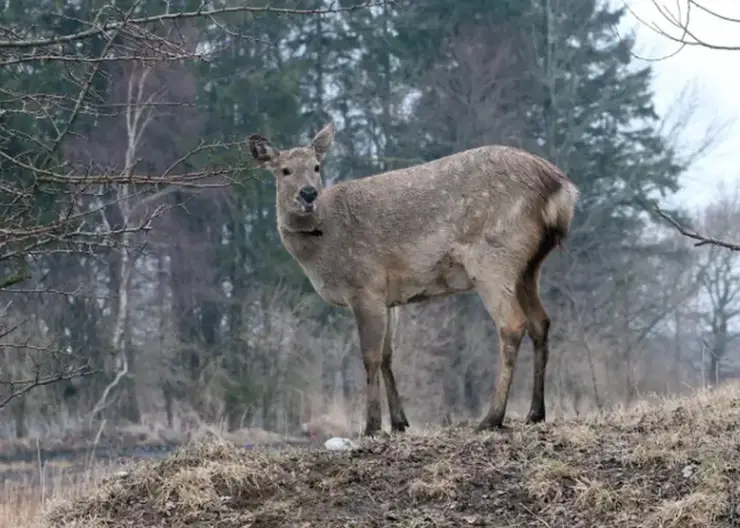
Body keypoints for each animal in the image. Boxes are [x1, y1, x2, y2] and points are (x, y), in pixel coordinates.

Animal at [249, 121, 580, 436]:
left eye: (317, 167)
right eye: (285, 170)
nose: (308, 194)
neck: (323, 245)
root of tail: (559, 188)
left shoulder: (364, 286)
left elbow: (369, 355)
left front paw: (371, 426)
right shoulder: (389, 297)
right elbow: (387, 355)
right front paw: (399, 422)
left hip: (493, 258)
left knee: (512, 325)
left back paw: (492, 417)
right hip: (529, 267)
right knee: (540, 322)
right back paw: (535, 413)